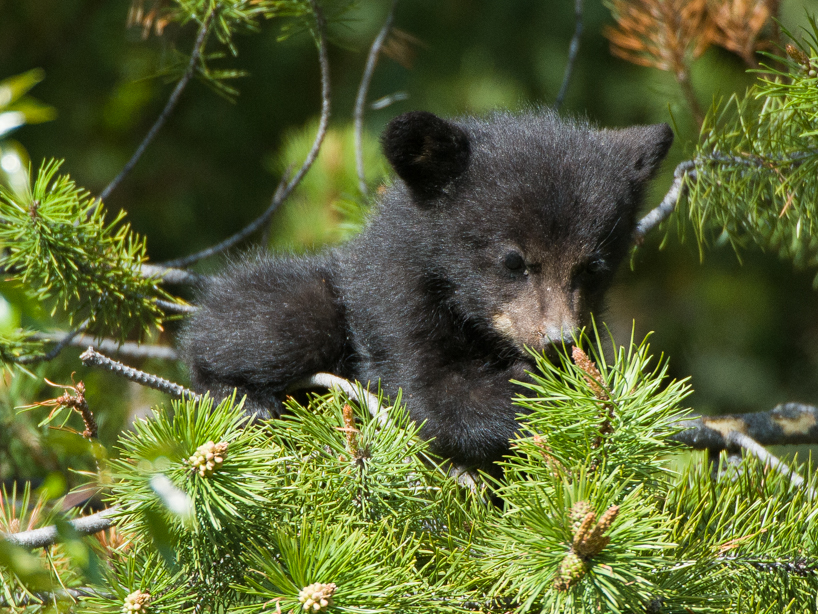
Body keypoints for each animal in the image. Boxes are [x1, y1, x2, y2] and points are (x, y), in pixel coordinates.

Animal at [180, 109, 673, 474]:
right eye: (514, 260)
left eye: (593, 266)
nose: (558, 341)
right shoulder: (394, 303)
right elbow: (432, 396)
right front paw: (539, 392)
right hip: (310, 300)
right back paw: (241, 398)